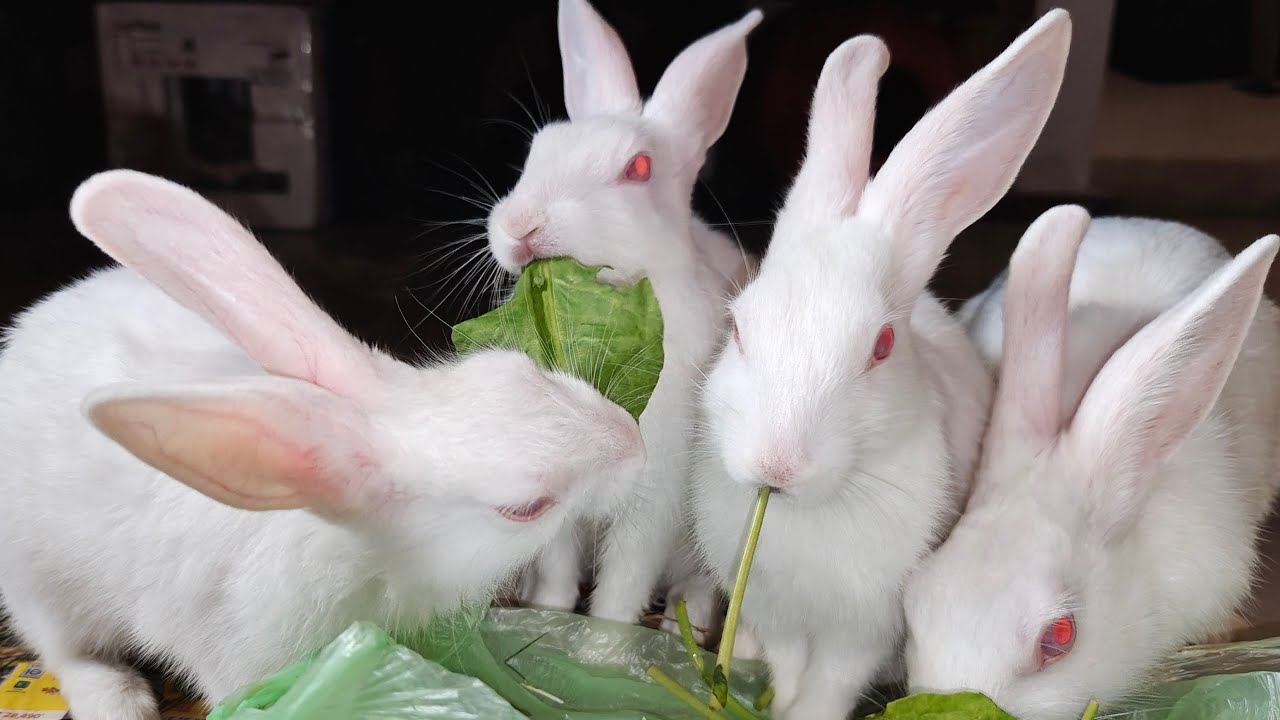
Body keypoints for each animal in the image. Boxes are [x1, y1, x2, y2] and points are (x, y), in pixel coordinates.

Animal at [0, 170, 646, 720]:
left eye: (518, 368)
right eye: (524, 509)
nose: (634, 442)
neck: (373, 555)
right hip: (43, 589)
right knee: (68, 651)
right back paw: (119, 699)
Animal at [483, 0, 763, 637]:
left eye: (638, 168)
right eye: (538, 150)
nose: (519, 227)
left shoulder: (653, 505)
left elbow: (622, 584)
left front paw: (604, 640)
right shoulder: (559, 504)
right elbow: (559, 570)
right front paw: (549, 615)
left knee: (700, 583)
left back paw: (680, 626)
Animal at [689, 10, 1072, 720]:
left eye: (883, 345)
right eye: (738, 326)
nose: (776, 466)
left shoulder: (863, 631)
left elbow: (829, 684)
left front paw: (801, 715)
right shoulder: (779, 613)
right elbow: (789, 664)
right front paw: (779, 702)